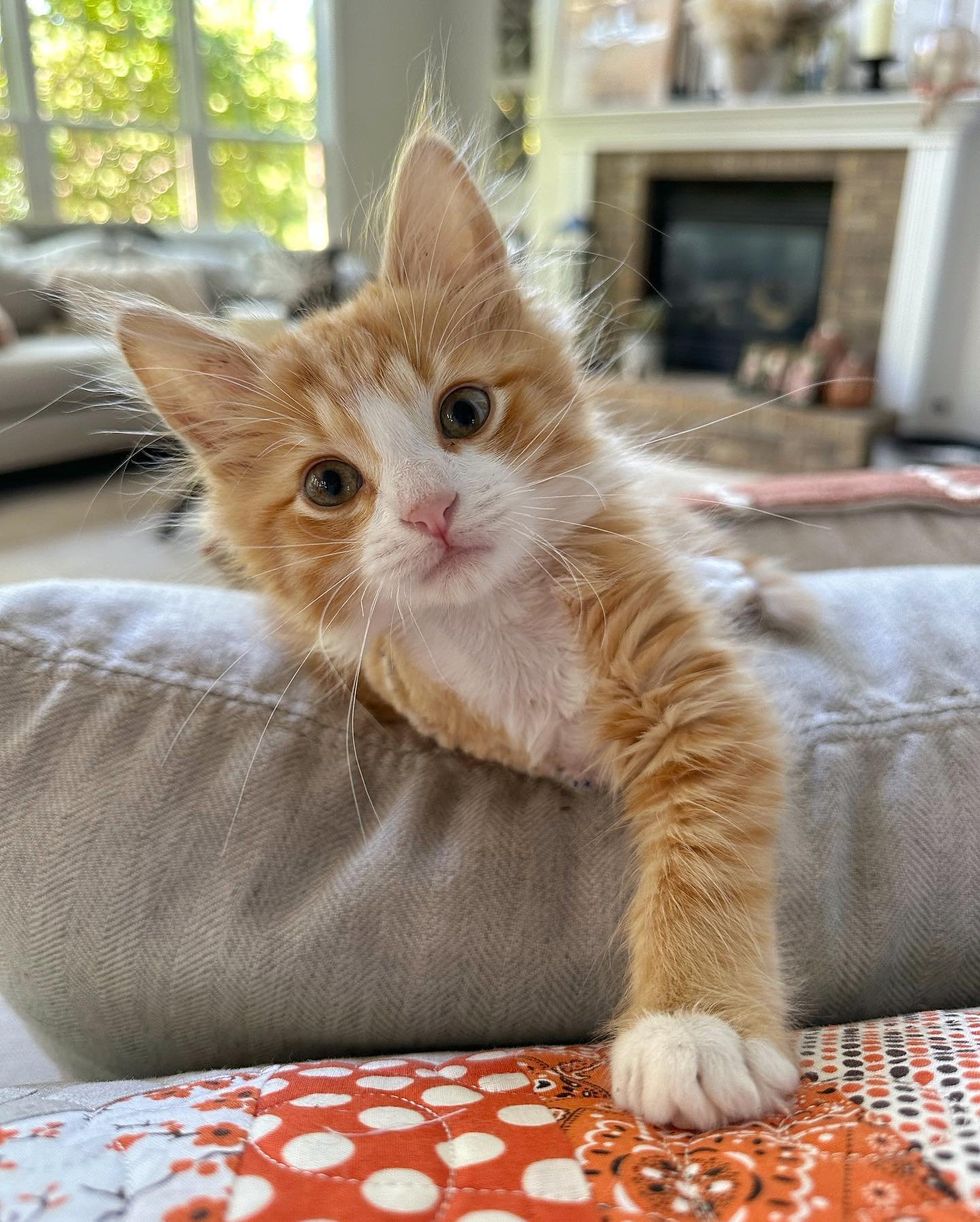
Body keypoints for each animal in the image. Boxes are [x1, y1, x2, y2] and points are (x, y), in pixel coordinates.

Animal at [118, 128, 796, 1129]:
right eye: (329, 483)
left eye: (465, 412)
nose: (432, 510)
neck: (494, 614)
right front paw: (695, 1027)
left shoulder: (691, 689)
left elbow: (703, 854)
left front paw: (696, 1026)